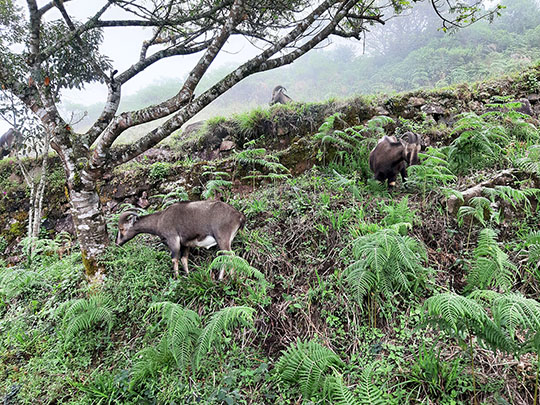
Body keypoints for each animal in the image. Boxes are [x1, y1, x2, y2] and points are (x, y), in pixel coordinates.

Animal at [118, 200, 247, 280]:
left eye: (122, 229)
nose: (118, 243)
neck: (160, 220)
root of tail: (239, 216)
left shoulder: (173, 240)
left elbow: (174, 259)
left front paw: (177, 279)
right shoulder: (186, 244)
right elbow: (184, 259)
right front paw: (188, 276)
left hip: (222, 238)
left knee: (231, 256)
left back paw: (228, 279)